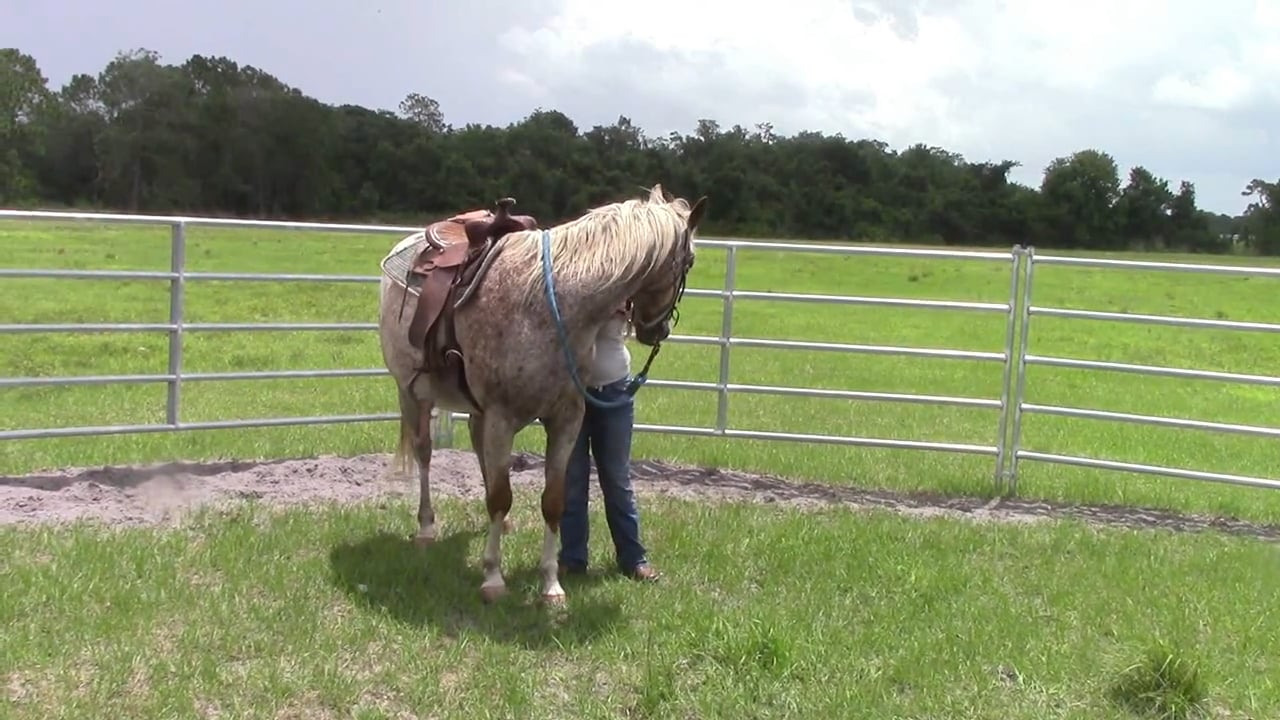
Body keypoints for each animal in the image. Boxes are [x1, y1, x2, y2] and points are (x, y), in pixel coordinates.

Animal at [376, 184, 707, 605]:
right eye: (690, 261)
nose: (657, 331)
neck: (552, 306)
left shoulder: (566, 419)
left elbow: (552, 500)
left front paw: (551, 584)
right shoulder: (502, 418)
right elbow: (500, 496)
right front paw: (493, 578)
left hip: (477, 411)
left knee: (480, 453)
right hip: (411, 393)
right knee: (424, 453)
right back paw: (425, 529)